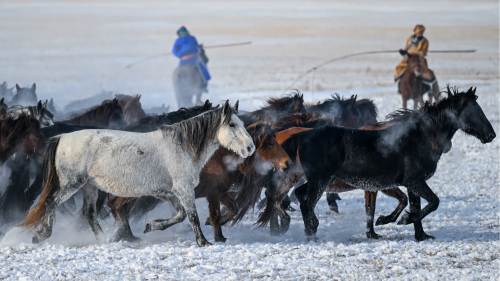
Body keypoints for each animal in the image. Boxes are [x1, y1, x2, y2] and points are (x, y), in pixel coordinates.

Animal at [23, 100, 254, 245]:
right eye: (232, 124)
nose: (250, 148)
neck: (180, 146)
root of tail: (61, 138)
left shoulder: (167, 193)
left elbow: (179, 215)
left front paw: (151, 226)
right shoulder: (183, 190)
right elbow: (192, 217)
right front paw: (203, 242)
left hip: (89, 187)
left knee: (88, 214)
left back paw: (105, 240)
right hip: (71, 184)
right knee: (51, 203)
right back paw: (41, 235)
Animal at [286, 86, 496, 240]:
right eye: (474, 111)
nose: (491, 135)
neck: (420, 137)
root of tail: (303, 135)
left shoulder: (411, 185)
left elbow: (415, 205)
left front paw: (420, 235)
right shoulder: (414, 181)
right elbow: (433, 202)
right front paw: (403, 220)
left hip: (320, 181)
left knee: (301, 197)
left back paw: (311, 229)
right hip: (320, 181)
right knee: (306, 203)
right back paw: (312, 234)